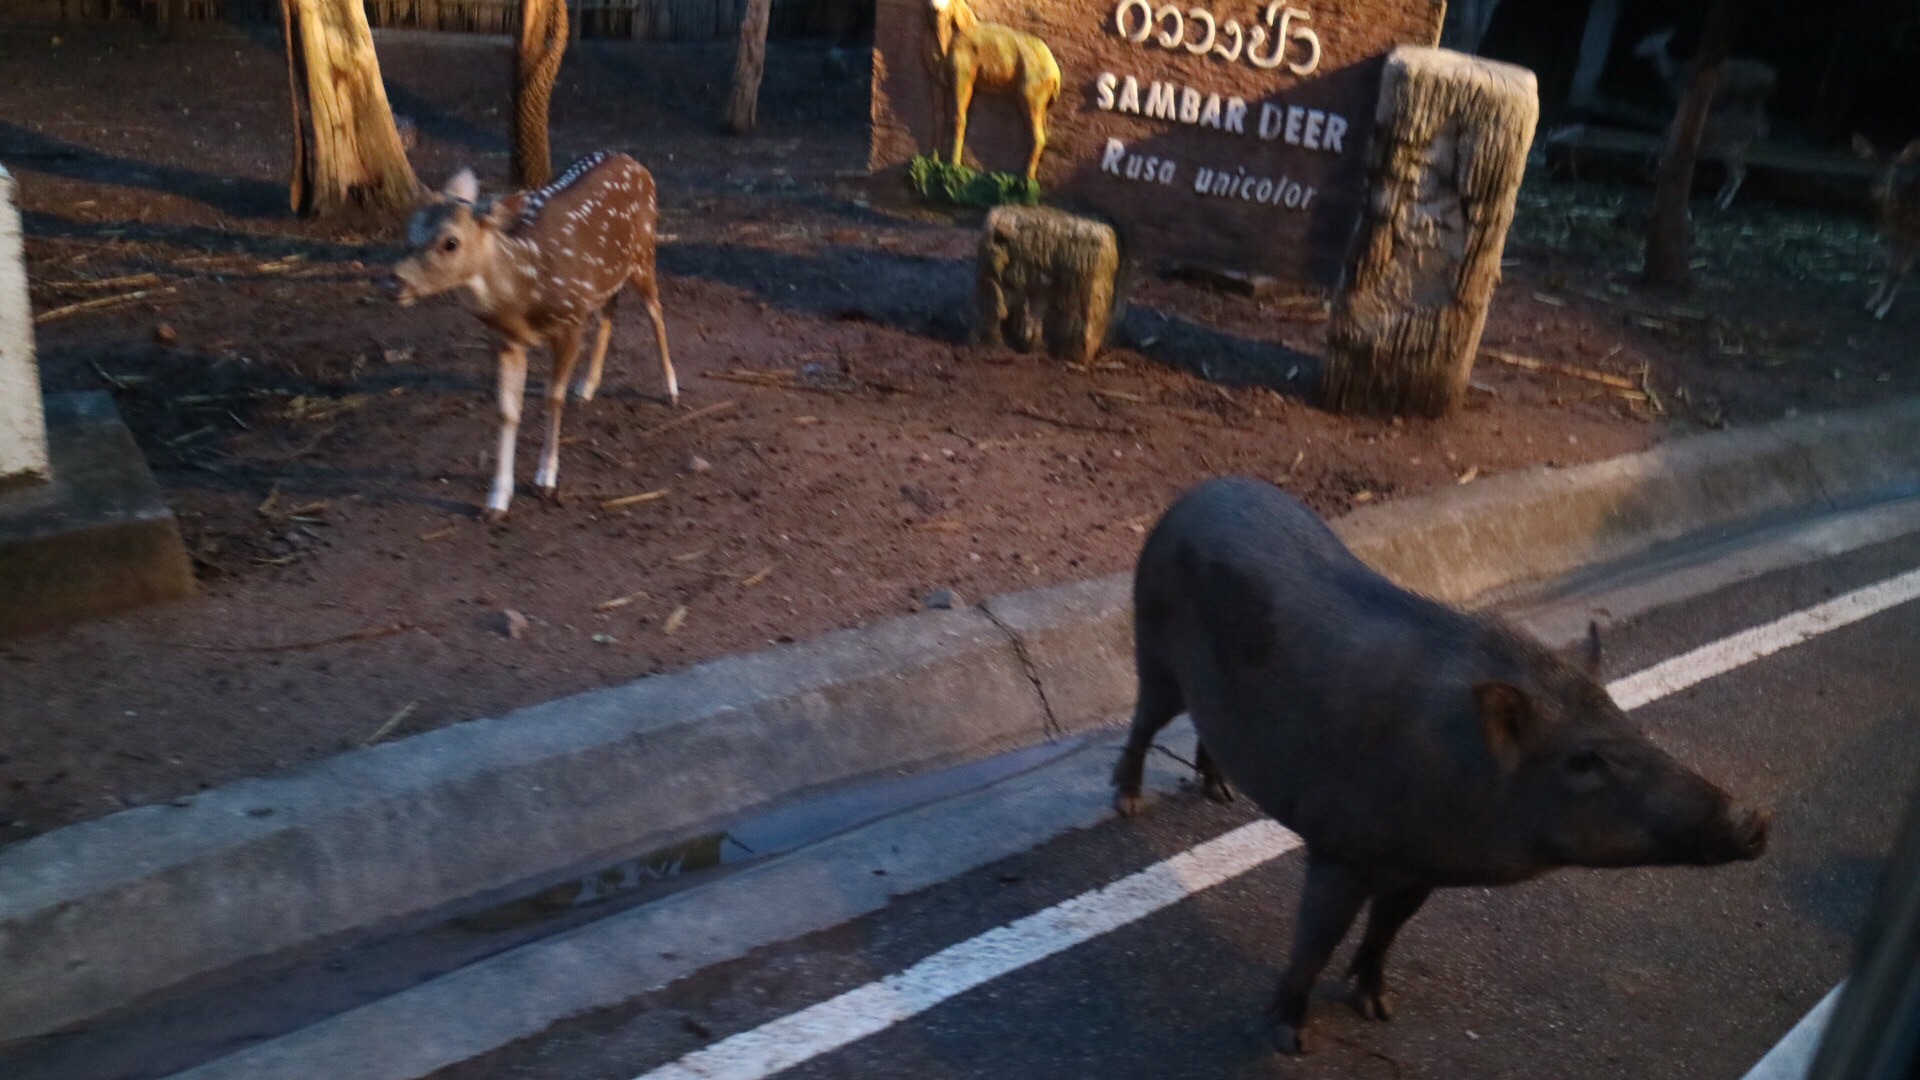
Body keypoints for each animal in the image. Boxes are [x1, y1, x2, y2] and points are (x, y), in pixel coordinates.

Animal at [389, 151, 675, 522]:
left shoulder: (570, 322)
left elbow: (552, 398)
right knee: (610, 312)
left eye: (450, 242)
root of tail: (633, 162)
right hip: (605, 279)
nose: (394, 281)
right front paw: (496, 500)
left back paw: (671, 389)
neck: (522, 296)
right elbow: (507, 410)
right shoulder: (506, 341)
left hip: (644, 254)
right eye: (409, 232)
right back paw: (587, 387)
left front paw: (546, 480)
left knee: (655, 310)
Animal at [921, 0, 1059, 181]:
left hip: (1030, 99)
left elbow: (958, 118)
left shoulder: (963, 80)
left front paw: (953, 165)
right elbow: (939, 119)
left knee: (1038, 137)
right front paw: (934, 161)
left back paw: (1024, 180)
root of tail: (1055, 72)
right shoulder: (936, 82)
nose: (935, 8)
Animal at [1643, 26, 1774, 210]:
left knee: (1739, 173)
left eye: (1656, 164)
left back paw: (1722, 203)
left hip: (1732, 146)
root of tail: (1773, 76)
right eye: (1646, 163)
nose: (1650, 180)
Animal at [1843, 136, 1920, 317]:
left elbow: (1899, 272)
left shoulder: (1914, 237)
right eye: (1871, 163)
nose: (1879, 186)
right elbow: (1887, 267)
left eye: (1895, 166)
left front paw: (1882, 309)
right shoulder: (1892, 236)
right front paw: (1872, 302)